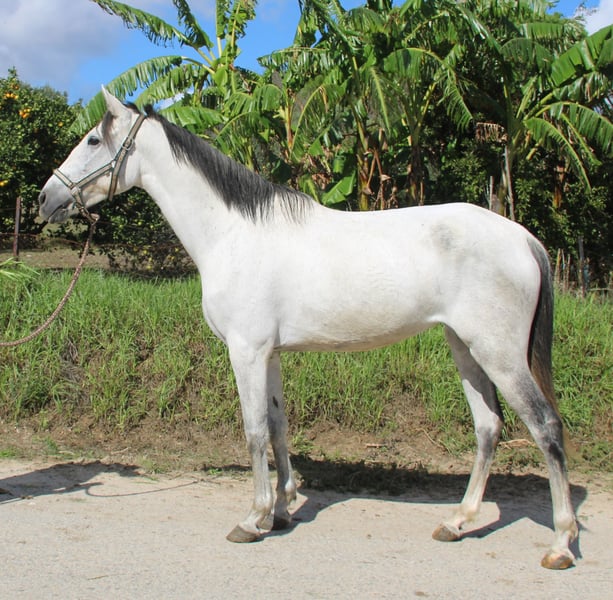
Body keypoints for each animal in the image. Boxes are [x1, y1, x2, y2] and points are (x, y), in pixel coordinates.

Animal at [38, 88, 578, 569]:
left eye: (93, 139)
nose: (46, 198)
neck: (233, 233)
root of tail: (524, 238)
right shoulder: (271, 353)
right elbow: (279, 428)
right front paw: (281, 510)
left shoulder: (247, 351)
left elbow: (254, 430)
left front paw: (252, 518)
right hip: (466, 348)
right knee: (489, 427)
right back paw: (458, 521)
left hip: (499, 353)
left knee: (546, 426)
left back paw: (560, 545)